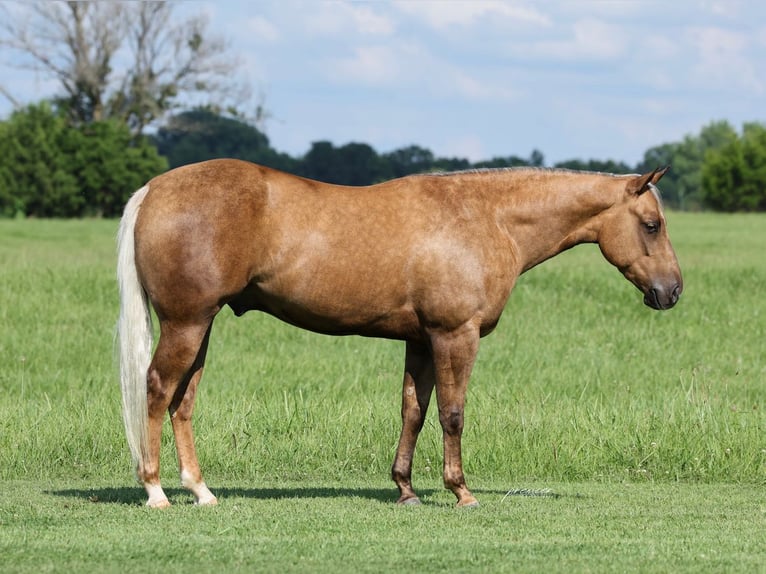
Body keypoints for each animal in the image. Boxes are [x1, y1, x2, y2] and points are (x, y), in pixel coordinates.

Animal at [117, 160, 682, 508]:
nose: (672, 291)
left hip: (201, 327)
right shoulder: (456, 335)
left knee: (183, 402)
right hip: (187, 324)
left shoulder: (421, 340)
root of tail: (154, 189)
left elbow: (414, 409)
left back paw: (202, 491)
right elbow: (453, 413)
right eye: (652, 224)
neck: (487, 217)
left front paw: (406, 489)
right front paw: (461, 491)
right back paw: (156, 491)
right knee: (158, 391)